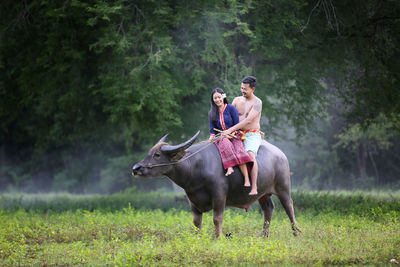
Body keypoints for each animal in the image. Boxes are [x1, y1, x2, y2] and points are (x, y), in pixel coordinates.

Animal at [131, 132, 300, 239]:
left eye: (157, 155)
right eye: (149, 152)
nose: (136, 168)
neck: (195, 167)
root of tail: (281, 154)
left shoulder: (219, 195)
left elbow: (217, 218)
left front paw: (218, 238)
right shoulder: (192, 199)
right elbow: (196, 222)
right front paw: (197, 238)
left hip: (283, 187)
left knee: (289, 207)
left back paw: (296, 233)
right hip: (262, 193)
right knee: (268, 209)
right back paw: (264, 235)